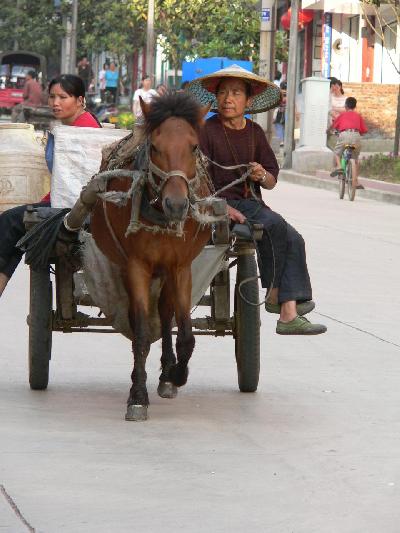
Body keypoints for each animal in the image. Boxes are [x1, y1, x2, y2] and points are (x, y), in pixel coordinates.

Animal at [92, 92, 214, 420]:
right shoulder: (137, 267)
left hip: (167, 273)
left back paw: (166, 374)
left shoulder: (181, 267)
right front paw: (137, 395)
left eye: (194, 146)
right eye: (156, 147)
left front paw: (176, 375)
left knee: (166, 312)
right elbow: (142, 335)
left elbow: (186, 335)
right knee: (141, 321)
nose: (177, 205)